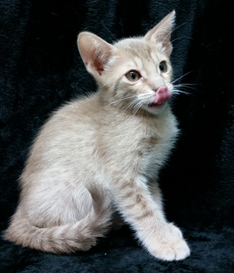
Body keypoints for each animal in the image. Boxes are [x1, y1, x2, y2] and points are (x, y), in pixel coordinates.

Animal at [4, 10, 190, 260]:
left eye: (162, 66)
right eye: (133, 75)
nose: (161, 88)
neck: (145, 119)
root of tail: (19, 213)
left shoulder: (150, 172)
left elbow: (155, 201)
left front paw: (165, 230)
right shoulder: (121, 176)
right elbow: (143, 210)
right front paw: (164, 242)